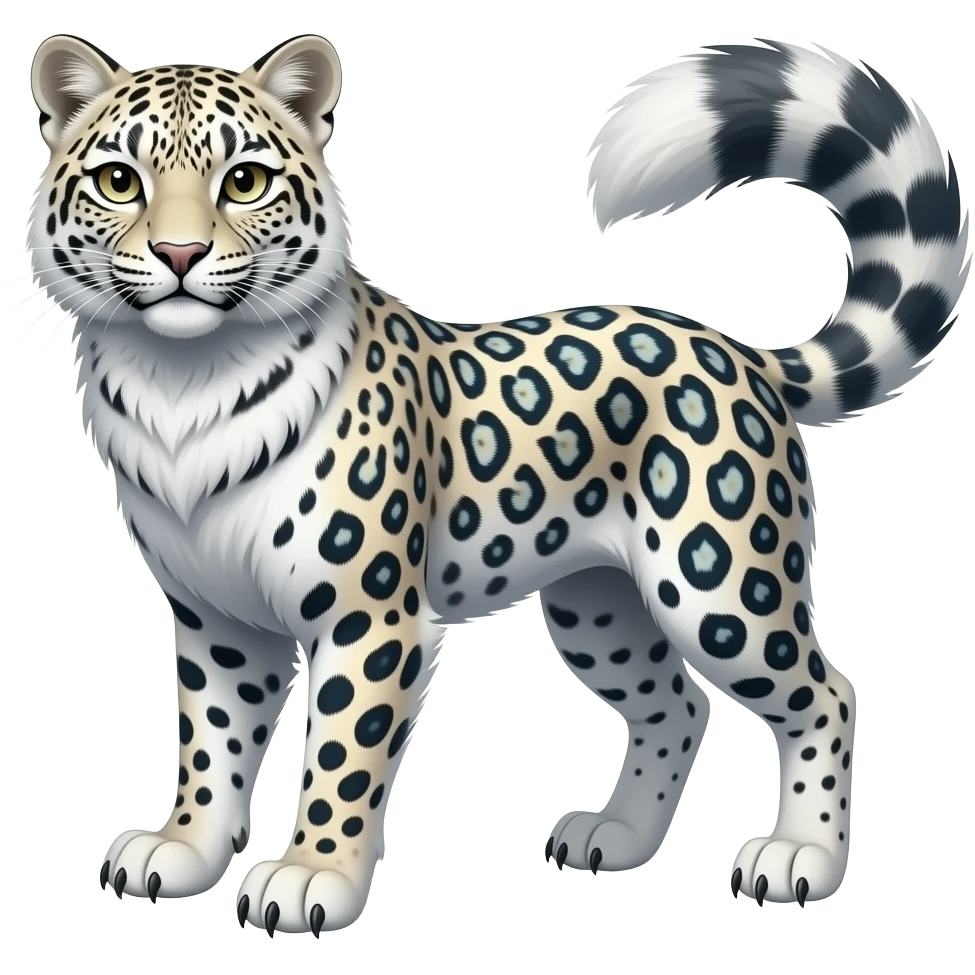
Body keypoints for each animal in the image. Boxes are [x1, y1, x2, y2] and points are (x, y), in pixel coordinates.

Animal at [19, 32, 970, 933]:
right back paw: (617, 835)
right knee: (675, 703)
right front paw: (183, 850)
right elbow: (211, 744)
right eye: (119, 181)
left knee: (824, 692)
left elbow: (341, 753)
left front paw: (311, 876)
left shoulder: (369, 619)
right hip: (597, 607)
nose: (179, 253)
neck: (183, 386)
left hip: (718, 584)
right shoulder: (215, 617)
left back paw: (799, 856)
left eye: (244, 181)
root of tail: (735, 347)